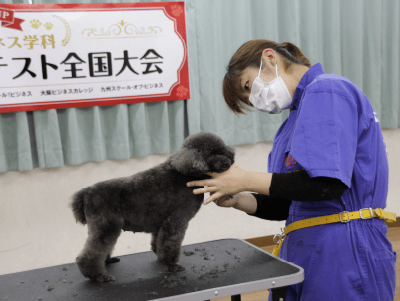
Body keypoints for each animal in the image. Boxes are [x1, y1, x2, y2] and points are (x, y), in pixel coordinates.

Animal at [70, 131, 236, 282]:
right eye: (210, 153)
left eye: (223, 151)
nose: (226, 163)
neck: (184, 174)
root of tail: (86, 193)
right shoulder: (176, 220)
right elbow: (170, 244)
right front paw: (172, 265)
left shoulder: (161, 222)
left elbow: (158, 243)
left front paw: (161, 258)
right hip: (106, 225)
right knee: (90, 253)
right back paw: (98, 276)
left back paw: (107, 261)